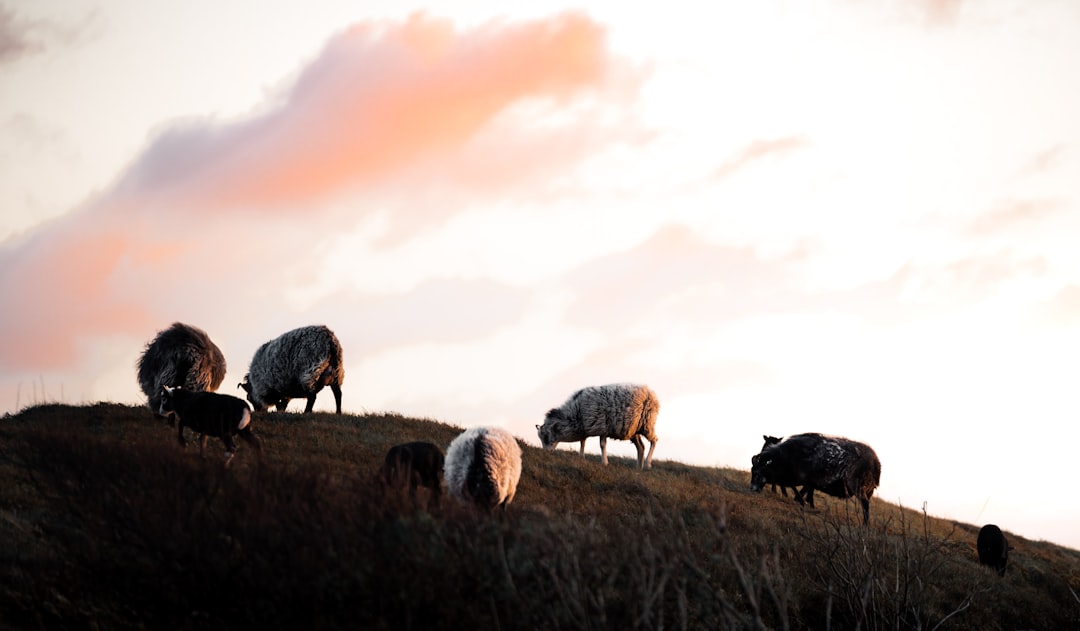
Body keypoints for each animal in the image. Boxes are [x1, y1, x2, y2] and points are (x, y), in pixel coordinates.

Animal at [747, 432, 881, 525]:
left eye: (758, 471)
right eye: (752, 470)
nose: (752, 488)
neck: (787, 457)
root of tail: (876, 463)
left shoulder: (806, 477)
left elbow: (800, 489)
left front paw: (801, 501)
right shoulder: (809, 480)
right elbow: (806, 491)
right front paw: (806, 503)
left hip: (857, 485)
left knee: (865, 504)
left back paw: (865, 525)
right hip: (869, 490)